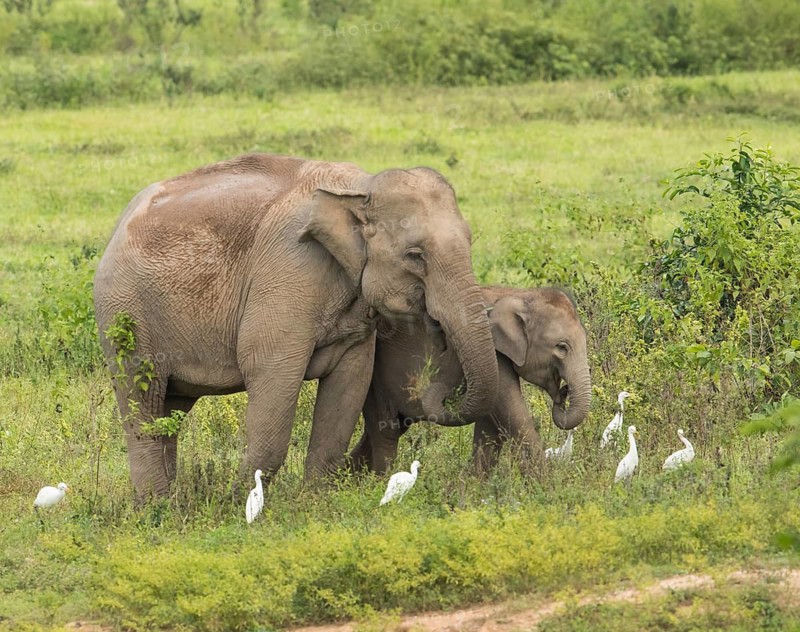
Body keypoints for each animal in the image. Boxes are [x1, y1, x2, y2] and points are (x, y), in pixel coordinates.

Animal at [94, 153, 500, 499]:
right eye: (415, 256)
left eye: (469, 241)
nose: (437, 334)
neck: (360, 187)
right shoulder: (289, 269)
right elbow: (270, 369)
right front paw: (237, 502)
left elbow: (350, 382)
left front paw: (313, 501)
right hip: (123, 314)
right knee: (142, 399)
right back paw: (156, 506)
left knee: (170, 409)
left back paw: (172, 500)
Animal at [348, 286, 591, 475]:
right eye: (561, 347)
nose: (563, 392)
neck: (519, 294)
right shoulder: (494, 352)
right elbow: (512, 412)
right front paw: (545, 487)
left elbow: (491, 426)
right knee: (386, 432)